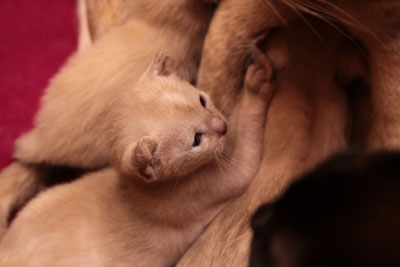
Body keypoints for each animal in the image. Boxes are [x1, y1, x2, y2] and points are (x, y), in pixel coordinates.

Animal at [0, 50, 276, 267]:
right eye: (196, 141)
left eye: (202, 100)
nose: (222, 127)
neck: (134, 190)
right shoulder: (220, 183)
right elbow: (248, 133)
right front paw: (257, 82)